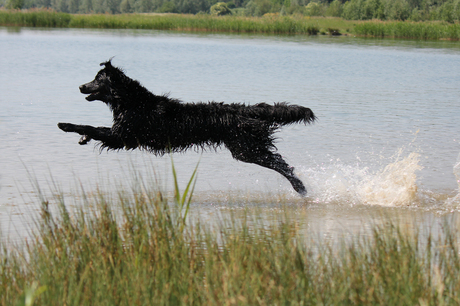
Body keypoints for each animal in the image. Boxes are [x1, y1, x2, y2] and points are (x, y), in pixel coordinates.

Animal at [57, 60, 316, 196]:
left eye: (97, 79)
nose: (80, 86)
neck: (132, 101)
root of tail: (245, 110)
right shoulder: (119, 135)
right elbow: (93, 128)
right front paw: (81, 138)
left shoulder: (121, 136)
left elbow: (91, 126)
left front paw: (66, 125)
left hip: (246, 149)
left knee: (283, 165)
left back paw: (300, 187)